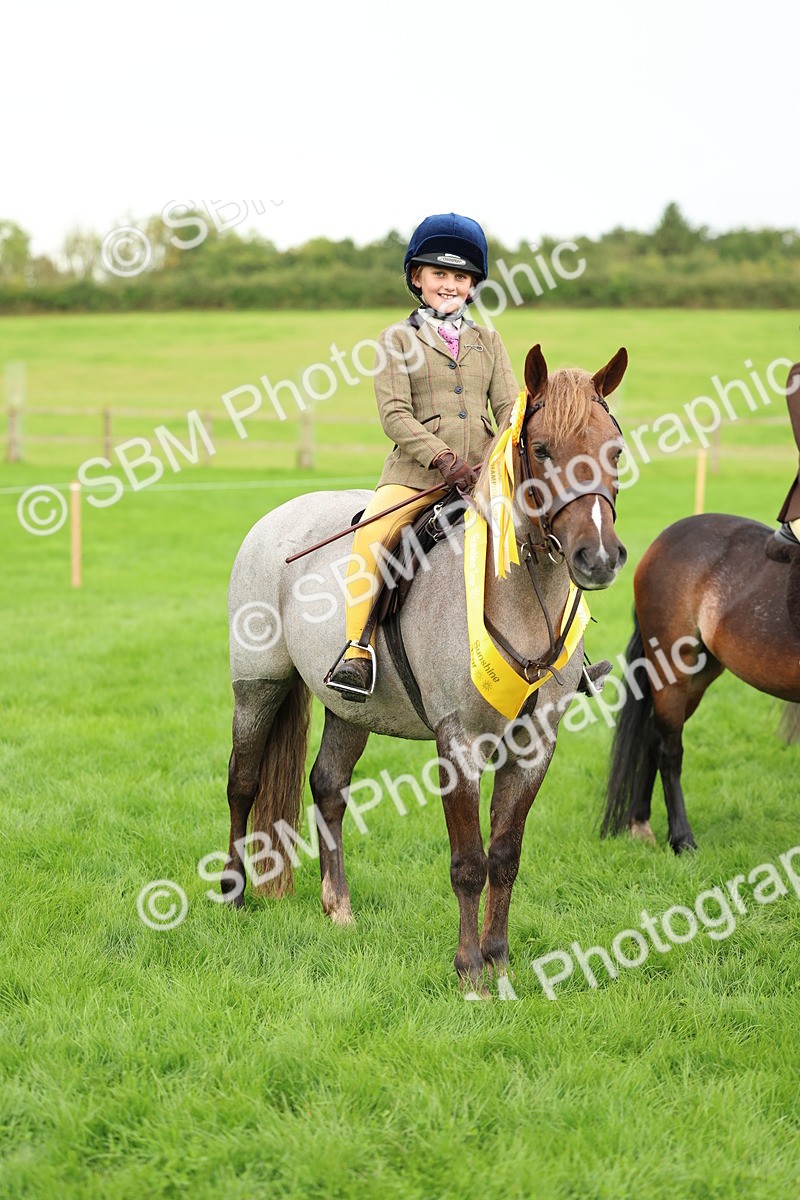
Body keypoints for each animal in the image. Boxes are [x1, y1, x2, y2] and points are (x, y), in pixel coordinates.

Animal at [223, 343, 628, 995]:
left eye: (614, 449)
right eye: (542, 449)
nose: (598, 557)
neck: (516, 598)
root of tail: (276, 518)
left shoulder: (534, 744)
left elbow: (504, 858)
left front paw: (499, 962)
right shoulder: (457, 741)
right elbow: (468, 863)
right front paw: (470, 975)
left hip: (350, 708)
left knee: (327, 786)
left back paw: (338, 908)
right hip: (258, 685)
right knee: (243, 781)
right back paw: (233, 894)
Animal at [601, 512, 800, 854]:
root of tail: (666, 537)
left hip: (699, 675)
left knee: (652, 734)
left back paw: (640, 823)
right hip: (671, 670)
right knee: (668, 748)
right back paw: (681, 839)